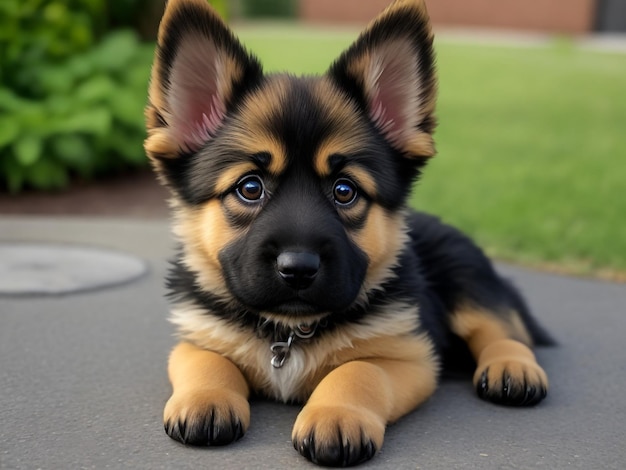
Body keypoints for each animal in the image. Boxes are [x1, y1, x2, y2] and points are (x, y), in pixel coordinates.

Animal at [144, 0, 548, 464]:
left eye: (344, 190)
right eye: (250, 187)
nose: (298, 269)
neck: (289, 331)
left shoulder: (412, 358)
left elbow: (360, 369)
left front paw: (335, 415)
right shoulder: (197, 335)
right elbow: (203, 360)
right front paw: (206, 398)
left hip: (468, 280)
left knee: (503, 330)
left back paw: (513, 367)